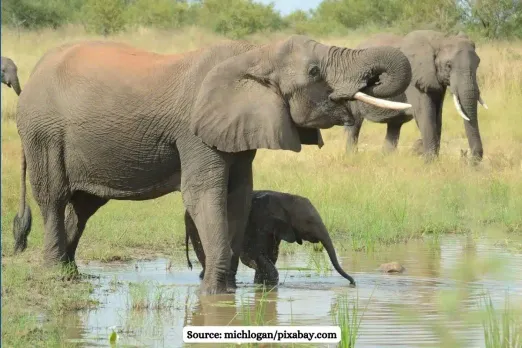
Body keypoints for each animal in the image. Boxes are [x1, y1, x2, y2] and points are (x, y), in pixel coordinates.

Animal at [183, 190, 354, 286]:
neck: (286, 198)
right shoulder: (259, 221)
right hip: (197, 227)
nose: (353, 282)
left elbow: (271, 257)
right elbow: (255, 253)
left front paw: (260, 282)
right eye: (309, 221)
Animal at [344, 29, 486, 163]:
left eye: (478, 64)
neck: (440, 40)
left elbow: (437, 115)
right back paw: (352, 156)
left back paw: (386, 159)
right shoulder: (413, 77)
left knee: (394, 125)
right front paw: (429, 162)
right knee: (355, 122)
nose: (468, 159)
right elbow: (425, 113)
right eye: (448, 65)